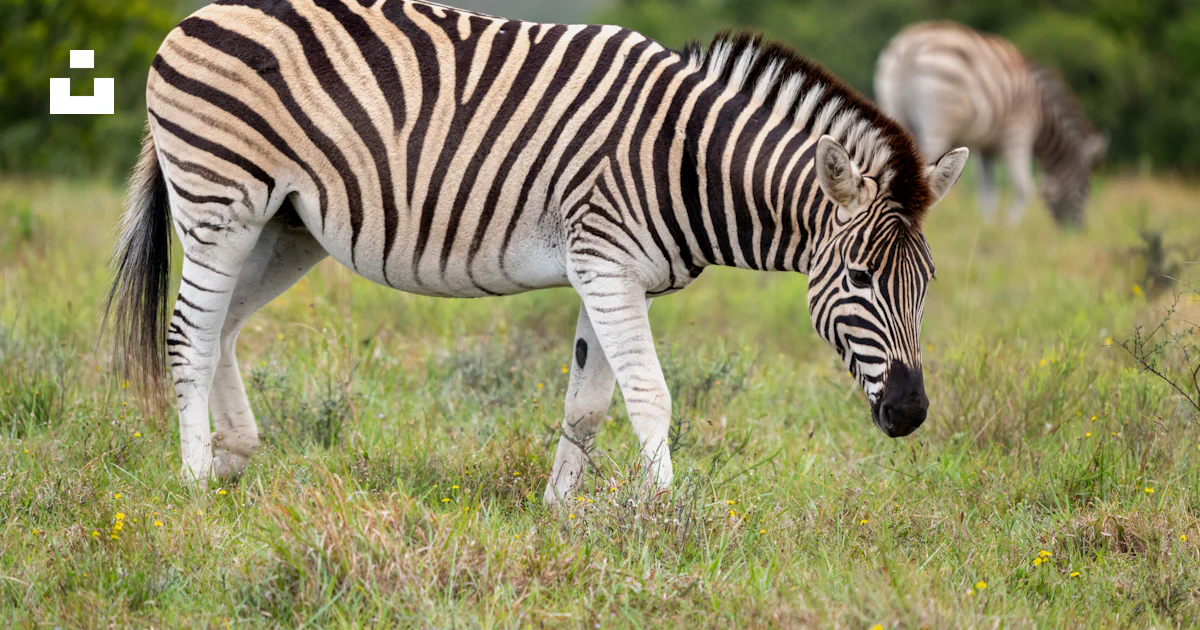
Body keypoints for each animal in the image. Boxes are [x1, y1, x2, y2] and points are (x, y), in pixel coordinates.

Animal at [105, 0, 968, 503]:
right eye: (859, 276)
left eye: (927, 284)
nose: (911, 414)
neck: (684, 159)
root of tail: (193, 17)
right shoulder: (606, 261)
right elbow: (651, 394)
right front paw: (667, 516)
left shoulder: (608, 274)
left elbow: (587, 406)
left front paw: (560, 517)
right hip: (220, 202)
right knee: (187, 334)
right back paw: (192, 481)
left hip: (284, 228)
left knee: (221, 327)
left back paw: (232, 458)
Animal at [874, 21, 1106, 226]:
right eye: (1085, 189)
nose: (1077, 231)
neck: (1043, 112)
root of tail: (910, 44)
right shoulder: (1019, 133)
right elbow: (1023, 187)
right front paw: (1009, 229)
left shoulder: (985, 148)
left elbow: (987, 192)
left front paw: (988, 227)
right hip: (938, 124)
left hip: (894, 109)